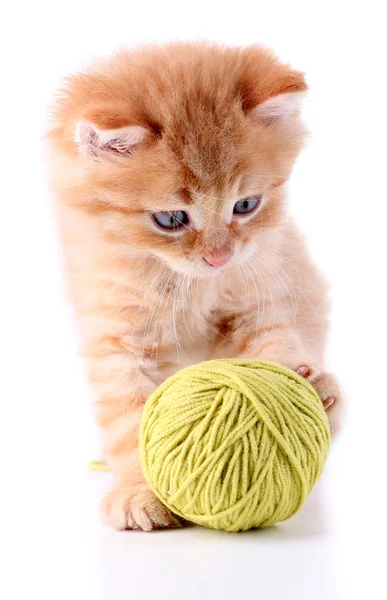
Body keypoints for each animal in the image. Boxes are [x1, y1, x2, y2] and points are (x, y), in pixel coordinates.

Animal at [47, 42, 342, 528]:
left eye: (246, 205)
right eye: (170, 219)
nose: (219, 257)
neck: (186, 285)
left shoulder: (258, 300)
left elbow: (271, 349)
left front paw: (296, 386)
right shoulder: (117, 339)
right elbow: (131, 419)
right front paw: (141, 492)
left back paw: (326, 394)